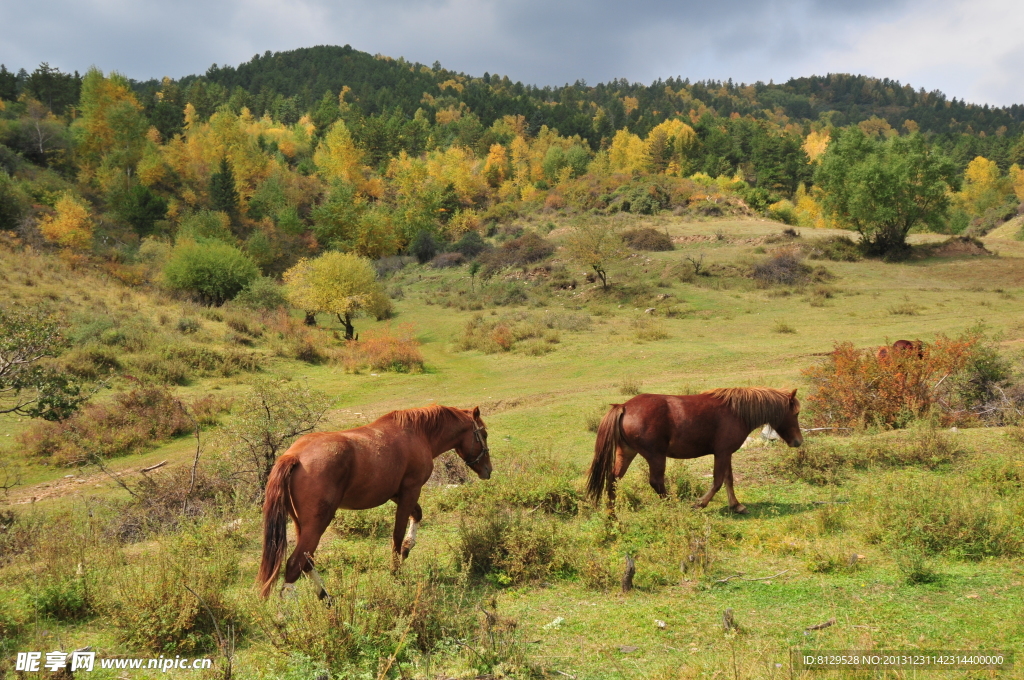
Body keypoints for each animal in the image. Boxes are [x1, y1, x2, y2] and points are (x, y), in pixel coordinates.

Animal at [260, 405, 491, 598]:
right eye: (484, 434)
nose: (488, 470)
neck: (418, 434)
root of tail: (294, 456)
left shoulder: (396, 494)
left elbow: (417, 515)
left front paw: (407, 548)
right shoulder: (410, 490)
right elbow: (397, 533)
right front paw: (396, 570)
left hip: (301, 525)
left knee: (306, 562)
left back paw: (326, 597)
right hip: (316, 525)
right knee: (294, 565)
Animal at [589, 385, 802, 512]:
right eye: (796, 413)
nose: (798, 441)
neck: (736, 412)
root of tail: (624, 406)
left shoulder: (726, 454)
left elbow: (729, 480)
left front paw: (736, 505)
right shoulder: (722, 453)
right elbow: (718, 481)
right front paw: (700, 503)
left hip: (626, 452)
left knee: (613, 479)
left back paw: (612, 513)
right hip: (656, 456)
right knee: (656, 482)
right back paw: (672, 506)